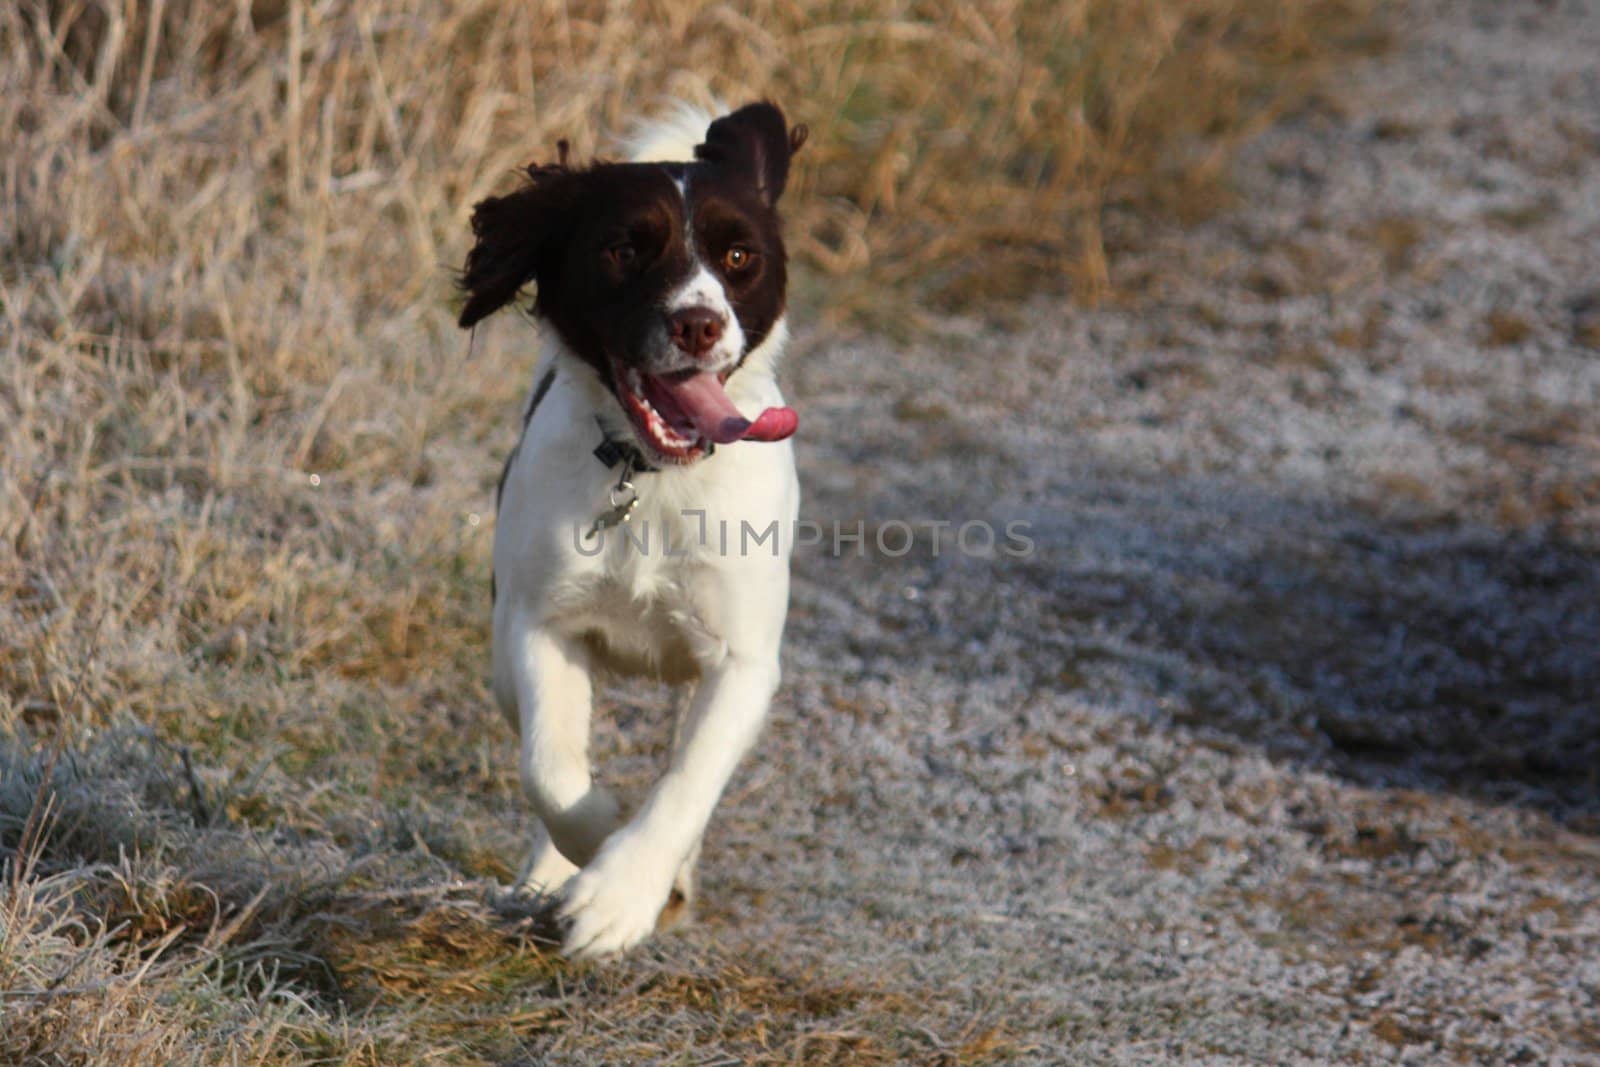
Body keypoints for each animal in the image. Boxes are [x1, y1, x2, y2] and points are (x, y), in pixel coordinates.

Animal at [460, 102, 812, 959]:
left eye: (739, 256)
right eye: (623, 249)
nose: (697, 324)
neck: (652, 479)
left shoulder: (743, 662)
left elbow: (686, 780)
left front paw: (626, 893)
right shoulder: (539, 622)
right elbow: (552, 768)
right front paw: (593, 856)